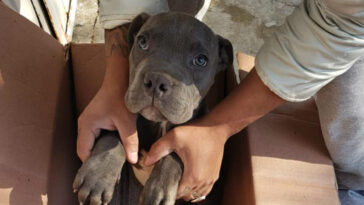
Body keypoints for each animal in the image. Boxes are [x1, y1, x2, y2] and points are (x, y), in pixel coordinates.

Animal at [73, 12, 233, 205]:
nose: (157, 80)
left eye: (201, 60)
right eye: (142, 42)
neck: (159, 124)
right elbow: (113, 135)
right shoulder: (124, 123)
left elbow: (175, 153)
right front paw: (97, 174)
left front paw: (159, 189)